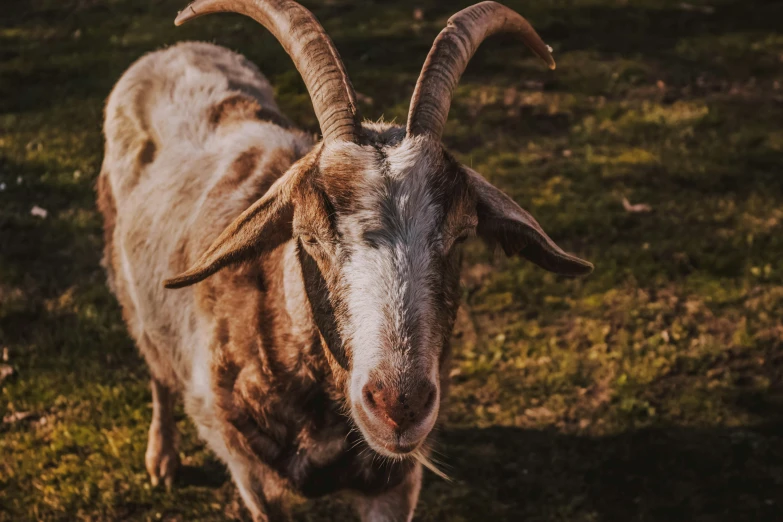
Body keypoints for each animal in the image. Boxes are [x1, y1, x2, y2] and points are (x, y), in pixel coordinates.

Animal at [96, 1, 588, 516]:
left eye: (461, 234)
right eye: (307, 236)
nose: (399, 404)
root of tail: (174, 50)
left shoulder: (393, 486)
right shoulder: (251, 476)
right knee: (155, 364)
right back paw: (162, 459)